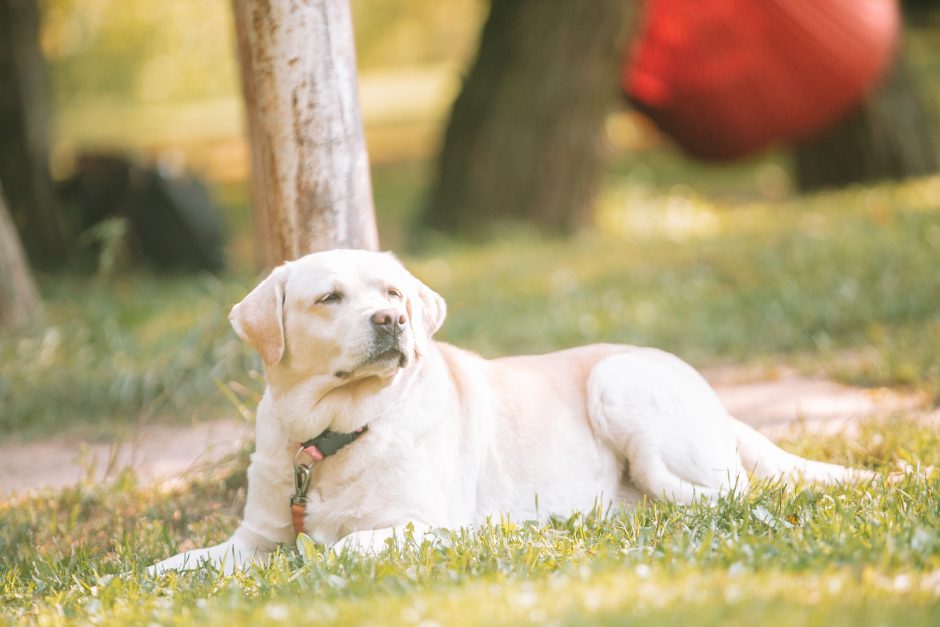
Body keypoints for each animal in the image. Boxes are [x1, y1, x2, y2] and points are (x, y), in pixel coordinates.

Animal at [151, 249, 876, 576]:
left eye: (392, 293)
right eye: (328, 297)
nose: (391, 321)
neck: (332, 432)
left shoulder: (430, 525)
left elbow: (350, 542)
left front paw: (325, 555)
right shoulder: (254, 538)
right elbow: (184, 561)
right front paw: (154, 577)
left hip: (619, 381)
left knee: (726, 491)